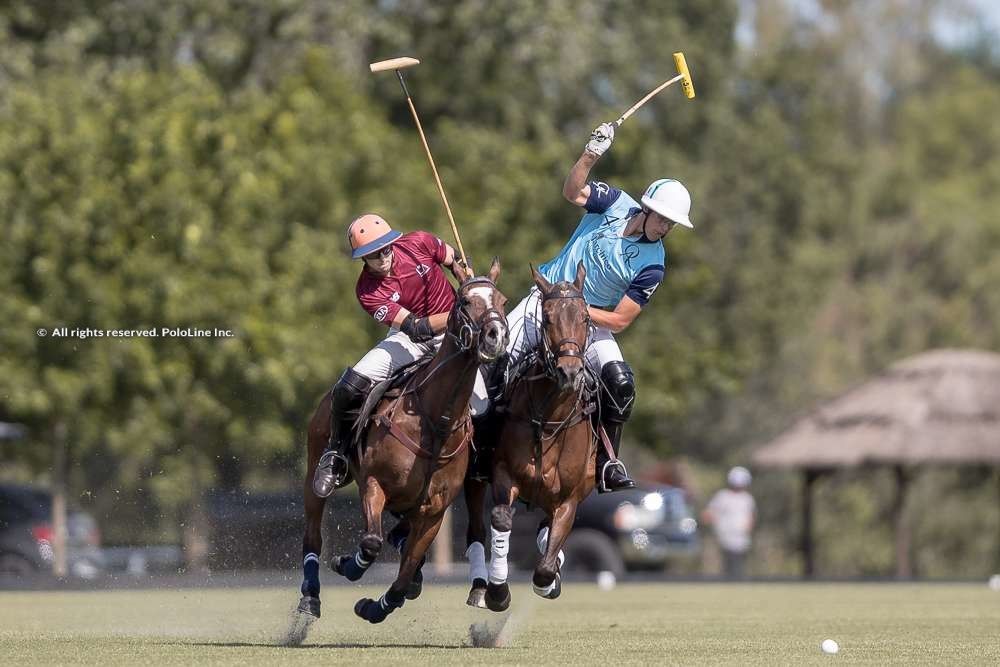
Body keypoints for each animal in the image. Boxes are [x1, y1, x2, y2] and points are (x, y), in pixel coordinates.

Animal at [296, 258, 508, 624]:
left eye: (503, 300)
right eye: (465, 302)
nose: (496, 336)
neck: (437, 421)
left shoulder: (433, 511)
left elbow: (405, 573)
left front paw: (374, 607)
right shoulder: (375, 484)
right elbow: (370, 542)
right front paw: (349, 565)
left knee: (402, 543)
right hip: (316, 465)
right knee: (314, 532)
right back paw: (310, 596)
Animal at [478, 260, 600, 612]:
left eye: (586, 317)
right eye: (546, 318)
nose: (569, 372)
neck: (549, 421)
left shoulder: (569, 499)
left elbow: (545, 567)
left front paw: (550, 580)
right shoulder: (504, 474)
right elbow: (502, 519)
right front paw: (497, 591)